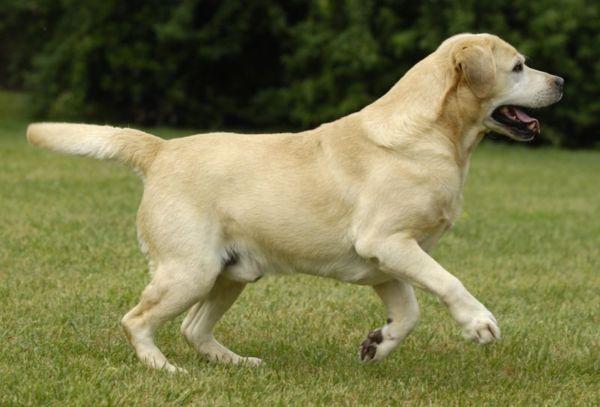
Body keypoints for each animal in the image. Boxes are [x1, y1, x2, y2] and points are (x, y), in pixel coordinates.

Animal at [27, 33, 564, 372]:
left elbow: (409, 312)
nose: (559, 82)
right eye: (518, 67)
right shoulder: (389, 242)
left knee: (194, 330)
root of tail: (161, 149)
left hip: (230, 272)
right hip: (191, 270)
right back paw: (164, 370)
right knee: (137, 320)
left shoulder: (386, 262)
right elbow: (448, 282)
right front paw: (479, 324)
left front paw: (376, 345)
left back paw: (238, 363)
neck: (432, 135)